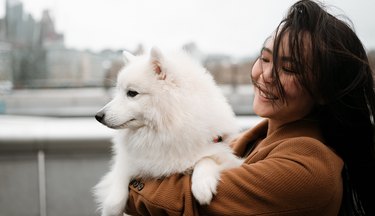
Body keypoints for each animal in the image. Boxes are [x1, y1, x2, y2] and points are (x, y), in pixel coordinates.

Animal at [94, 47, 244, 216]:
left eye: (132, 93)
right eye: (118, 91)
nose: (98, 116)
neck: (164, 131)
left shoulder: (223, 153)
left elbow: (206, 159)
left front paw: (202, 186)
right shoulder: (130, 160)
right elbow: (118, 183)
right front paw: (110, 208)